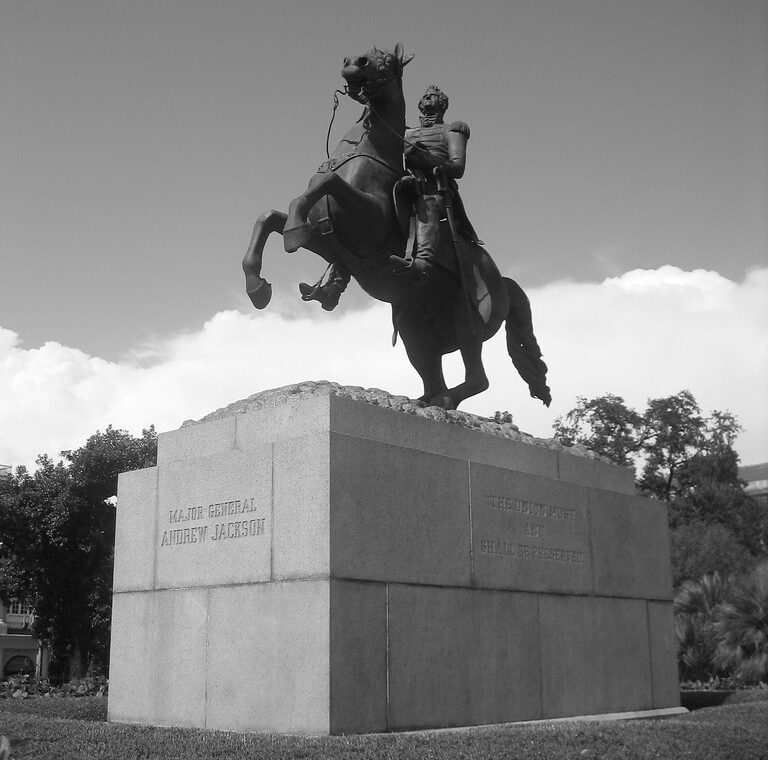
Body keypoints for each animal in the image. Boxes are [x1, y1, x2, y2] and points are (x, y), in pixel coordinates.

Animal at [243, 41, 548, 410]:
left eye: (387, 61)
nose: (353, 61)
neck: (366, 153)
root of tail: (502, 281)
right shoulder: (328, 241)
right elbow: (269, 216)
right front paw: (258, 286)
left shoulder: (367, 225)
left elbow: (327, 183)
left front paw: (291, 235)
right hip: (414, 332)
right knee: (434, 376)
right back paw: (424, 401)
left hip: (467, 322)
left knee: (478, 378)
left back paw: (444, 400)